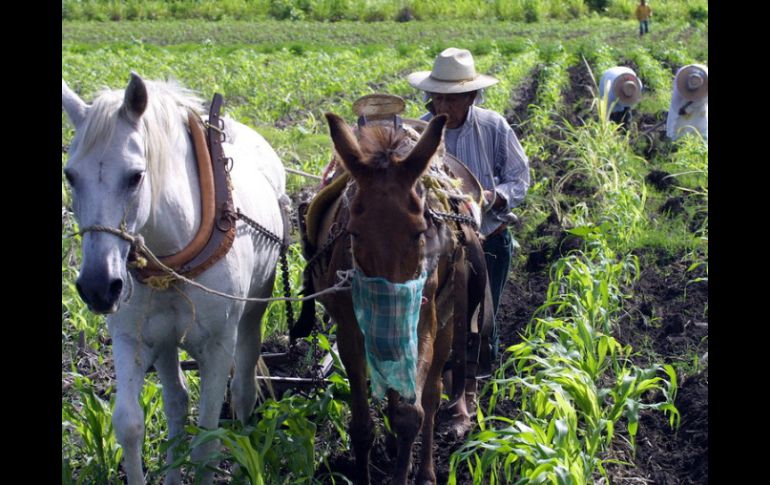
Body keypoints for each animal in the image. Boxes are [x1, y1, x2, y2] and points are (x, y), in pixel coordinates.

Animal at [60, 73, 288, 484]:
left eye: (135, 176)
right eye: (70, 175)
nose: (99, 288)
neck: (174, 255)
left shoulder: (218, 346)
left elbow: (207, 440)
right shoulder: (131, 337)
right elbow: (129, 425)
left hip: (253, 315)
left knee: (243, 391)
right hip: (164, 340)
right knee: (177, 402)